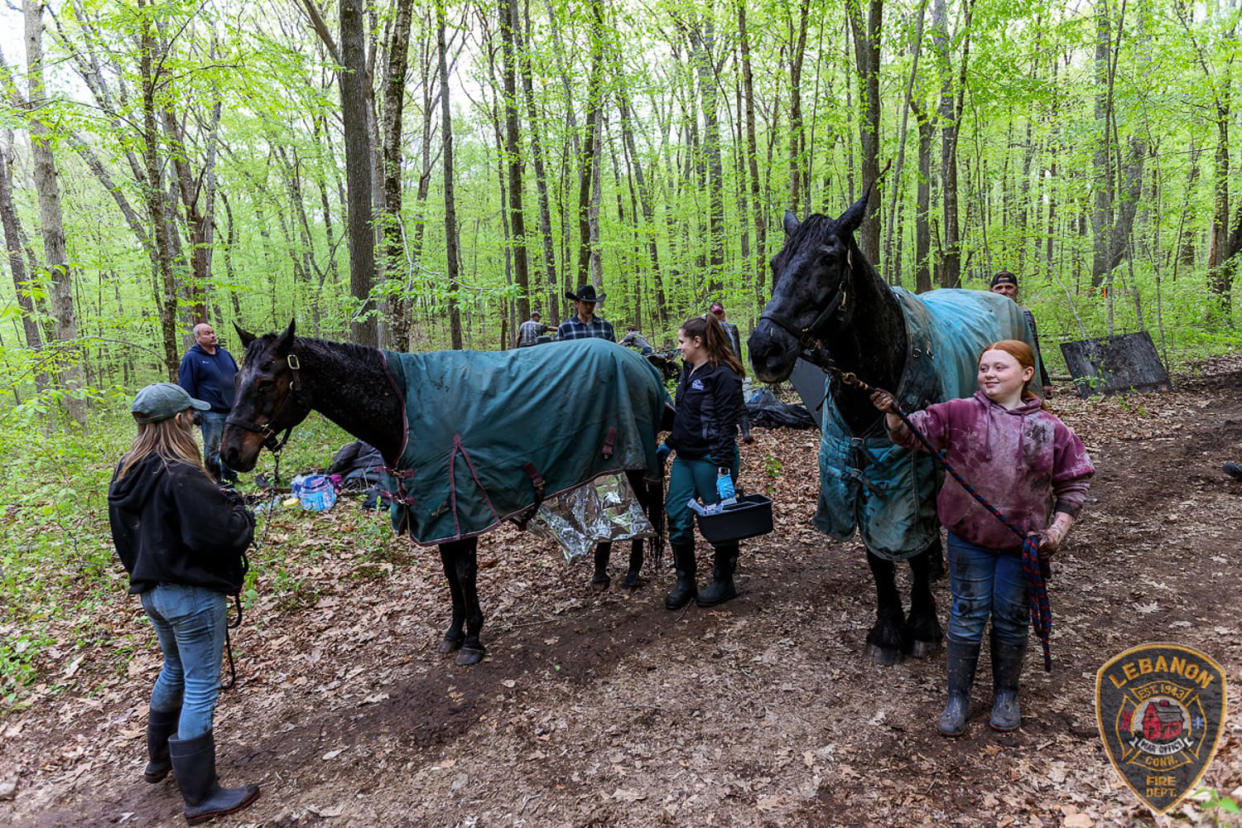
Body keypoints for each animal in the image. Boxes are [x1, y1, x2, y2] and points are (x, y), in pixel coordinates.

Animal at [223, 322, 670, 665]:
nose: (228, 453)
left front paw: (472, 640)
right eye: (236, 380)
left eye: (265, 381)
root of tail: (639, 362)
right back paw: (600, 573)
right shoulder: (434, 513)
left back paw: (632, 573)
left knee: (645, 508)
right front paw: (454, 633)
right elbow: (449, 576)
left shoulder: (462, 508)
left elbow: (464, 573)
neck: (404, 411)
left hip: (636, 458)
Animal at [750, 191, 1033, 665]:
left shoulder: (908, 469)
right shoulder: (860, 470)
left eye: (828, 259)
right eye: (775, 262)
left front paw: (921, 625)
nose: (763, 350)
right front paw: (887, 629)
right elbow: (878, 555)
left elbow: (911, 548)